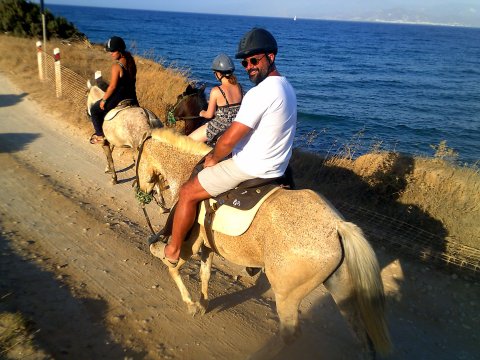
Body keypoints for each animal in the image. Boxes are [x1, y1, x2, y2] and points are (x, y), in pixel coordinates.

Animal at [134, 129, 390, 358]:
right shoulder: (206, 246)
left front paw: (191, 304)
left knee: (290, 333)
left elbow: (173, 268)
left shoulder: (190, 245)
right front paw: (203, 303)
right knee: (360, 333)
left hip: (287, 294)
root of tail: (337, 226)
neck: (186, 169)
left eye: (137, 157)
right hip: (341, 287)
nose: (142, 191)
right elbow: (205, 274)